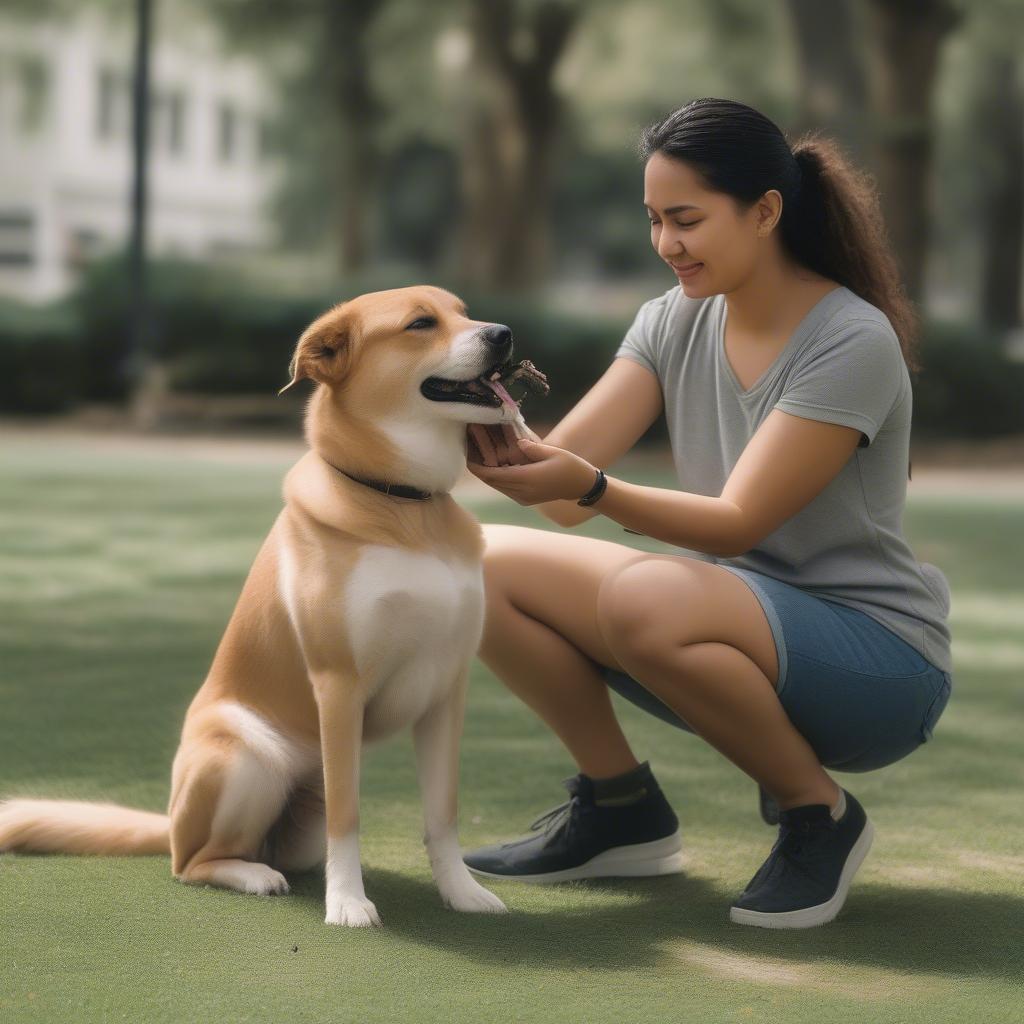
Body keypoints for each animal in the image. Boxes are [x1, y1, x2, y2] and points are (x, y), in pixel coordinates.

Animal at [0, 284, 528, 925]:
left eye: (465, 312)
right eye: (421, 324)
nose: (503, 333)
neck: (405, 504)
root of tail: (170, 823)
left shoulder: (446, 689)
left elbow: (442, 814)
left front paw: (461, 892)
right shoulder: (338, 685)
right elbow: (350, 816)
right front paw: (347, 903)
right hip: (247, 756)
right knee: (193, 863)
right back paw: (250, 875)